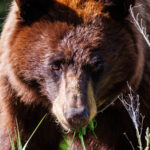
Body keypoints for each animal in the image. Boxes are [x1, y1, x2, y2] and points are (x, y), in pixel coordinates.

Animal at [0, 0, 150, 149]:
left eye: (96, 64)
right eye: (55, 65)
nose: (76, 115)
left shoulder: (132, 105)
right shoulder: (20, 101)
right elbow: (20, 137)